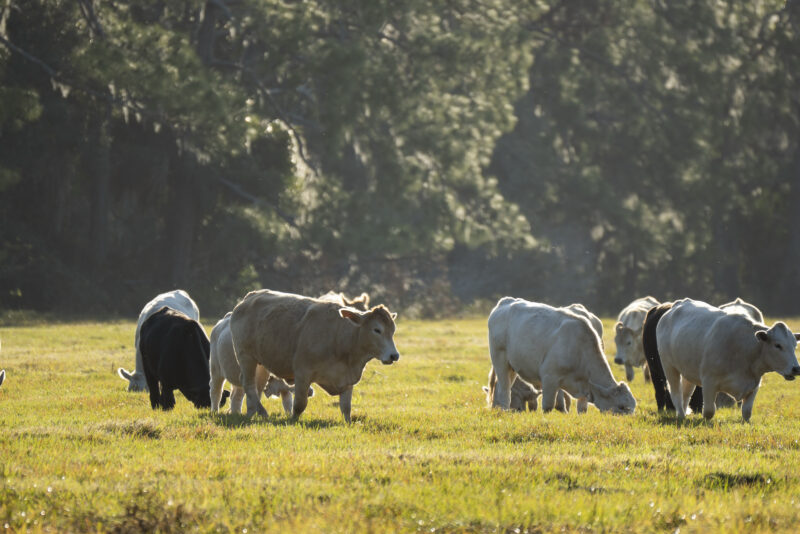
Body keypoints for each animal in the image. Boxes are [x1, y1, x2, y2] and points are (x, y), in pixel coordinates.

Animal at [230, 289, 400, 422]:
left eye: (393, 330)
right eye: (377, 330)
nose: (394, 355)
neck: (339, 337)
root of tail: (249, 297)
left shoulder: (348, 379)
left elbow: (346, 407)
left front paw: (348, 423)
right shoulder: (303, 374)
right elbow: (300, 404)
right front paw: (293, 420)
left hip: (262, 363)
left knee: (255, 386)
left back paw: (252, 412)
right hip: (246, 357)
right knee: (248, 384)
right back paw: (261, 411)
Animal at [487, 297, 636, 414]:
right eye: (622, 407)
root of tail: (506, 301)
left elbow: (581, 407)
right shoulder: (549, 377)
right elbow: (548, 406)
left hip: (512, 367)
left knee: (500, 386)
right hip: (500, 359)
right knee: (504, 389)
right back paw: (504, 409)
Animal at [648, 298, 800, 421]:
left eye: (794, 345)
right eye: (778, 345)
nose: (796, 368)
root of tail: (677, 304)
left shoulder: (754, 385)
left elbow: (747, 412)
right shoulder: (709, 382)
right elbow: (709, 411)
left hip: (687, 370)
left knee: (686, 394)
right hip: (669, 367)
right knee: (676, 393)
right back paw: (680, 416)